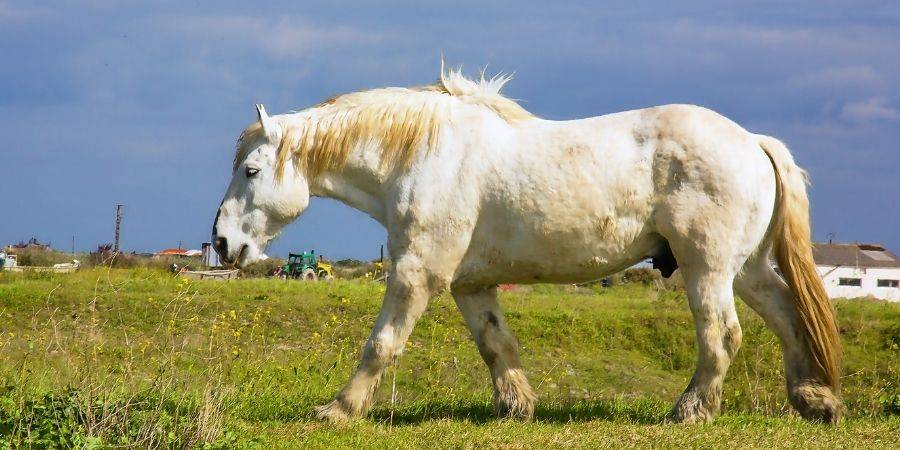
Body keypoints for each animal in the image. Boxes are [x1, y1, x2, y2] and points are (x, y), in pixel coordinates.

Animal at [211, 65, 844, 424]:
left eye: (250, 170)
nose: (221, 242)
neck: (423, 155)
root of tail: (752, 141)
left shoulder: (416, 274)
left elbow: (382, 345)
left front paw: (338, 410)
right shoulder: (470, 284)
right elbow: (497, 346)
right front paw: (517, 407)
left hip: (706, 269)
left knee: (723, 336)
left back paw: (690, 411)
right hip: (747, 268)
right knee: (787, 317)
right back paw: (814, 400)